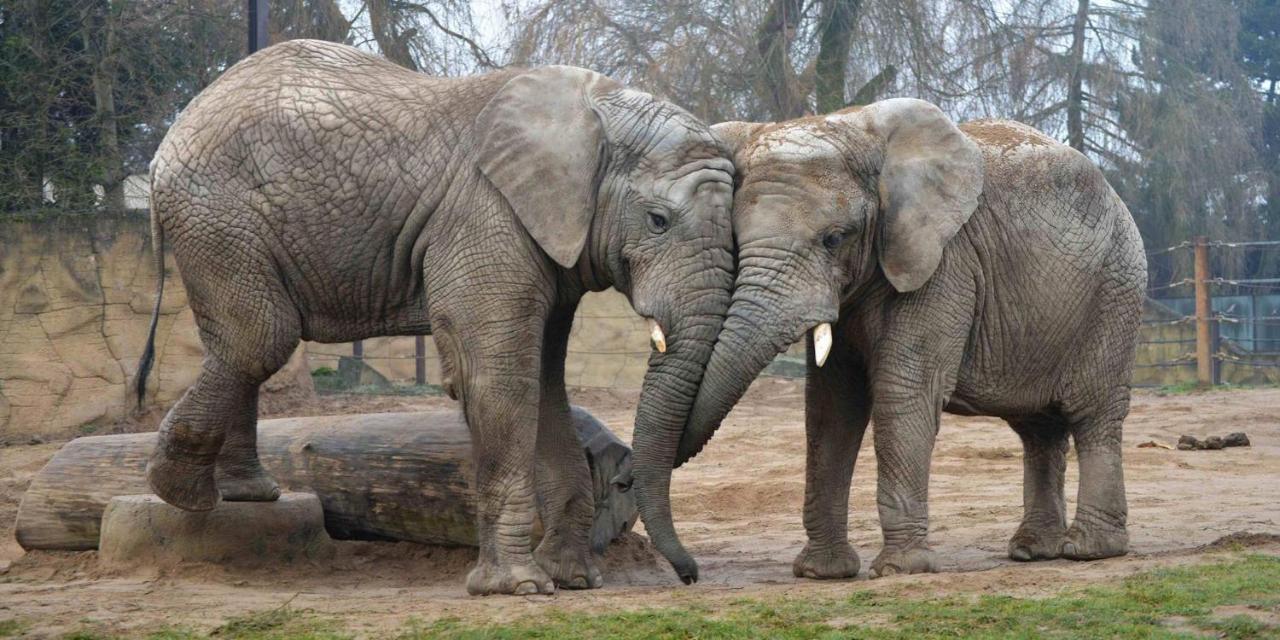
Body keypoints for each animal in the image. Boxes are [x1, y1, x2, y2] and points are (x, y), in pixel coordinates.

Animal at [133, 40, 737, 593]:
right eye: (658, 220)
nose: (689, 577)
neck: (598, 110)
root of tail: (167, 143)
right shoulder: (484, 212)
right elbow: (500, 378)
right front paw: (518, 588)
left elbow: (545, 383)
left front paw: (574, 580)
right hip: (218, 216)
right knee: (259, 339)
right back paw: (179, 492)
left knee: (243, 344)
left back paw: (245, 494)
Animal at [640, 98, 1152, 581]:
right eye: (734, 238)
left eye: (834, 239)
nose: (690, 574)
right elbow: (832, 406)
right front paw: (822, 573)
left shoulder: (943, 265)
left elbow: (903, 394)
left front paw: (900, 569)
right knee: (1037, 428)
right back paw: (1032, 551)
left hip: (1116, 290)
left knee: (1093, 414)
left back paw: (1088, 550)